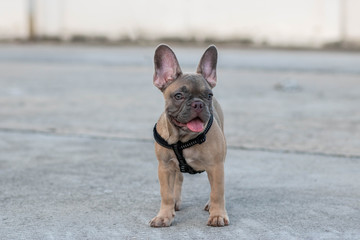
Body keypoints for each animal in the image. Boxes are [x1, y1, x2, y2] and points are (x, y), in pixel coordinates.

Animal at [150, 44, 229, 227]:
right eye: (179, 96)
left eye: (209, 95)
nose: (198, 103)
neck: (183, 139)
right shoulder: (164, 167)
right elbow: (166, 193)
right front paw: (164, 216)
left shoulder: (216, 166)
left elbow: (217, 192)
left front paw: (217, 215)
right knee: (178, 180)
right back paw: (175, 202)